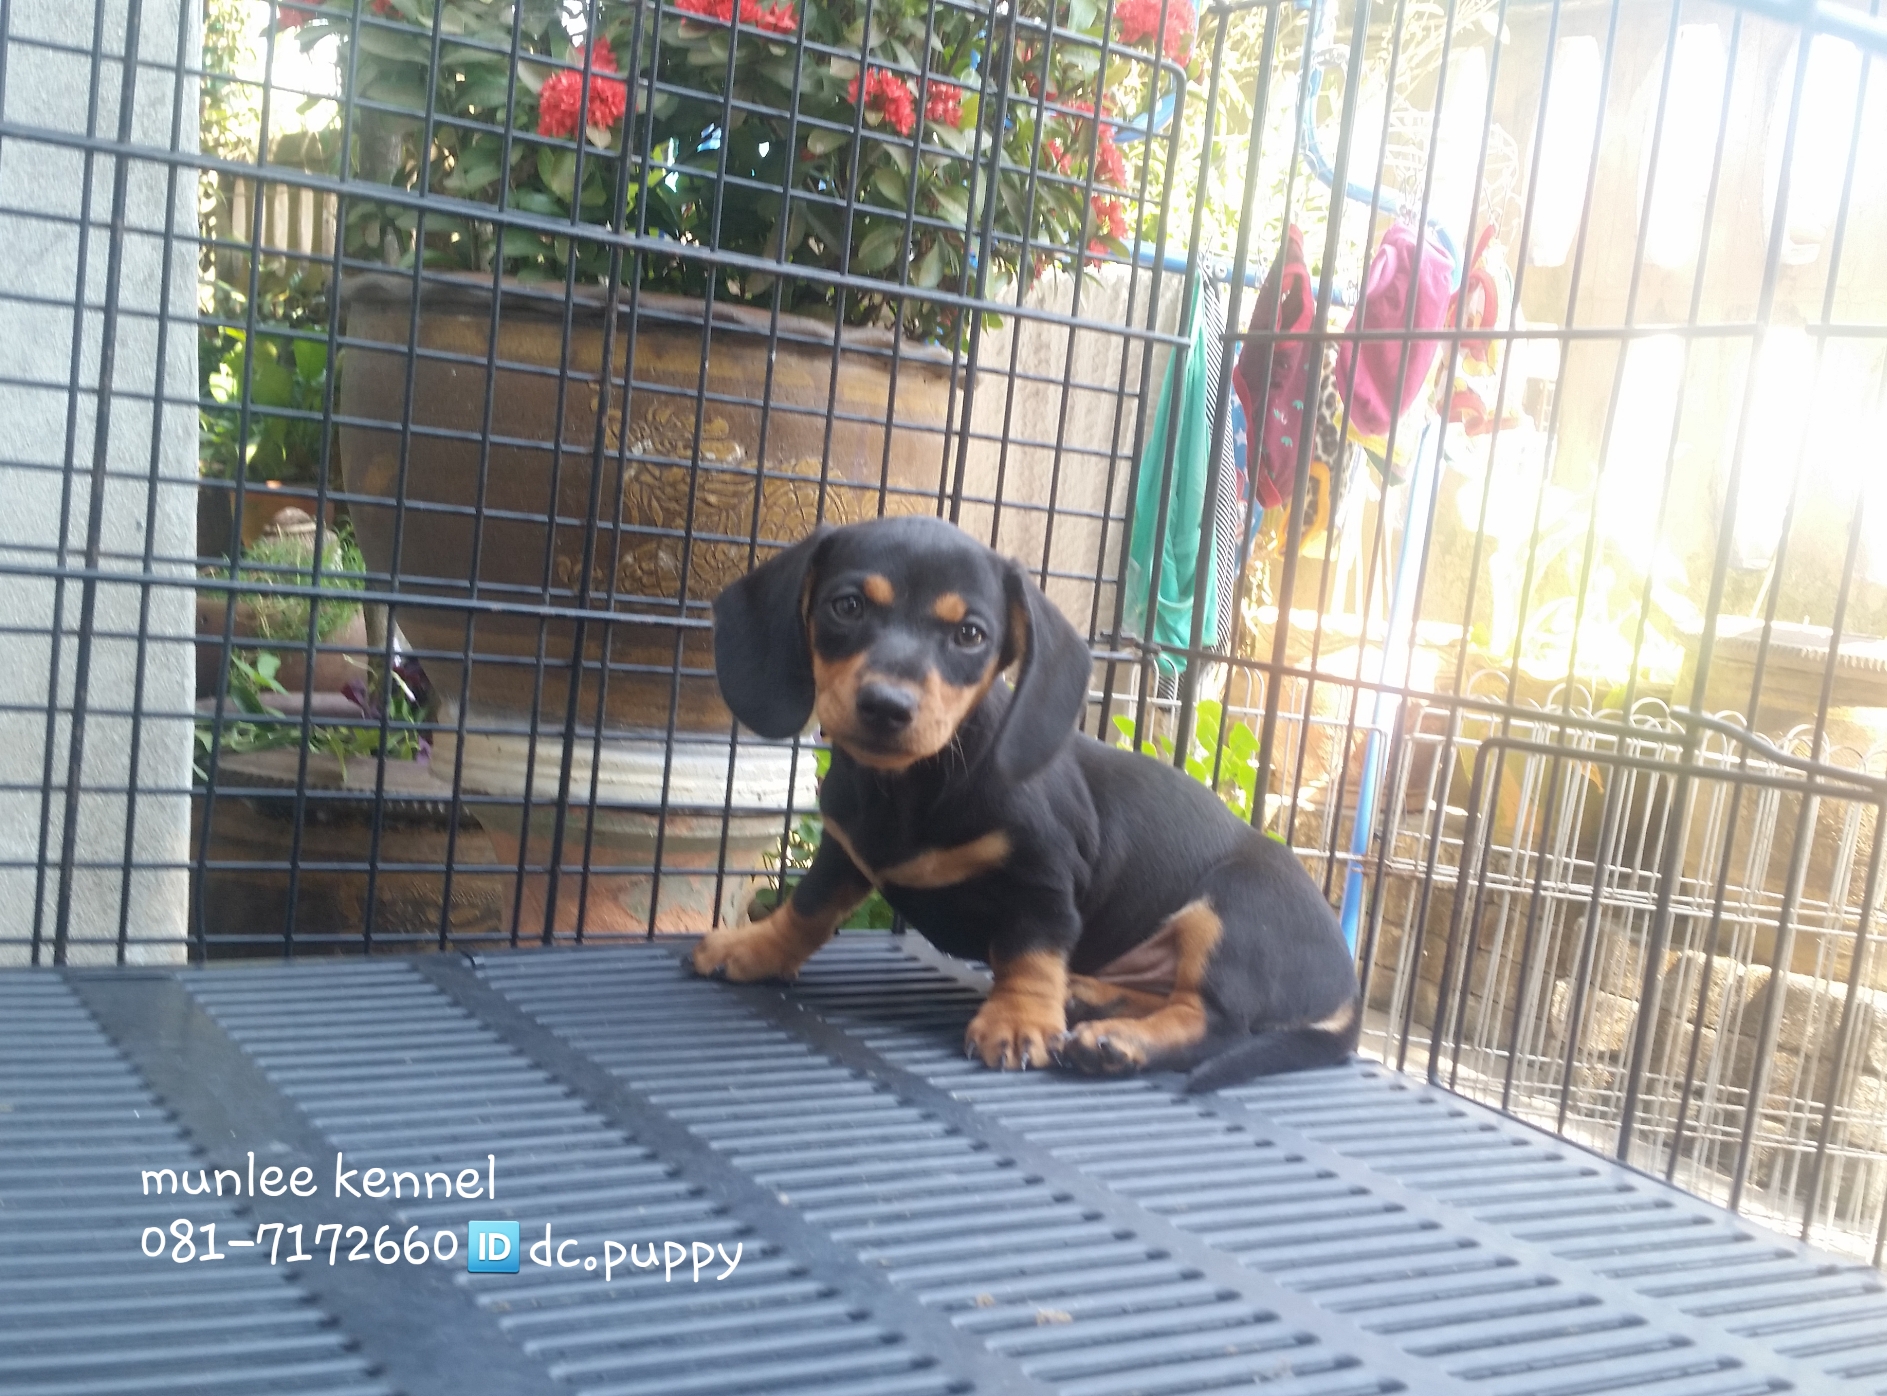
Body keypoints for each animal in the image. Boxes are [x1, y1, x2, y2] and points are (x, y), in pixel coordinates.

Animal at [691, 514, 1360, 1090]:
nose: (886, 706)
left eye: (970, 634)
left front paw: (1017, 1021)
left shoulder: (1044, 877)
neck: (912, 786)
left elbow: (1030, 950)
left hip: (1234, 910)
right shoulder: (843, 851)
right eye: (847, 606)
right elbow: (808, 907)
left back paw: (1117, 1041)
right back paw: (1089, 997)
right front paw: (754, 949)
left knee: (1215, 1020)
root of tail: (1346, 990)